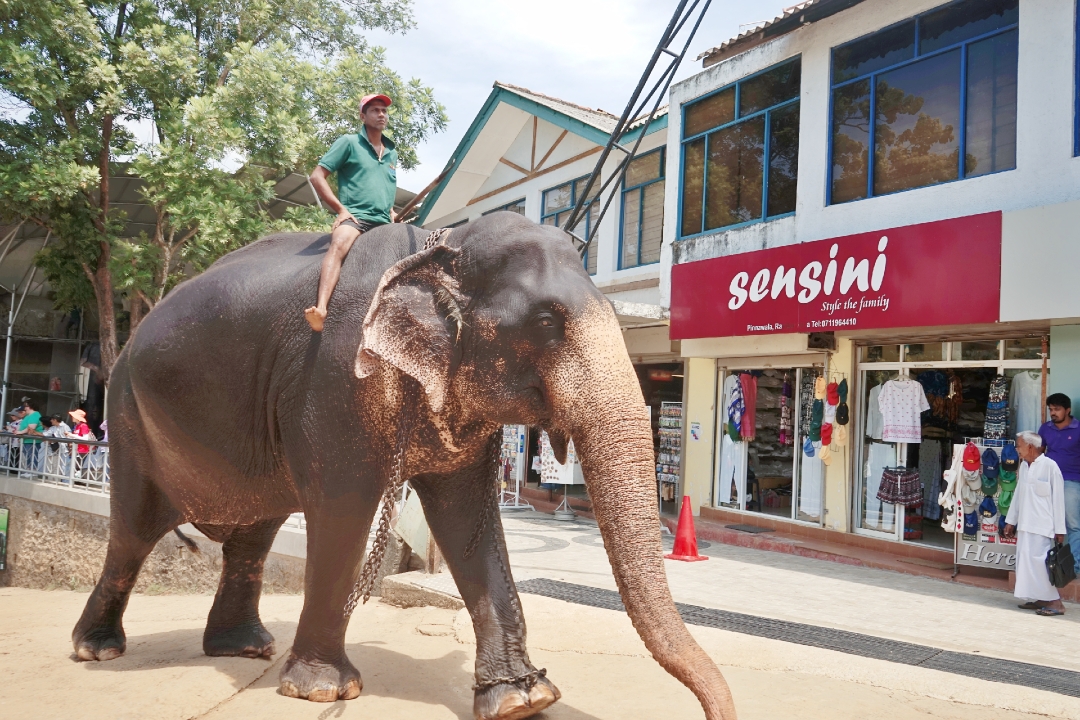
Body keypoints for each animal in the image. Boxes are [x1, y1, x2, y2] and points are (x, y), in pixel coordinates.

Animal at [71, 212, 738, 720]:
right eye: (547, 322)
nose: (717, 714)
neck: (438, 246)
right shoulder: (336, 376)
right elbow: (342, 508)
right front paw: (322, 690)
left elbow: (468, 520)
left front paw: (522, 699)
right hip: (126, 414)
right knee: (133, 531)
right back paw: (98, 652)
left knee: (253, 536)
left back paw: (243, 649)